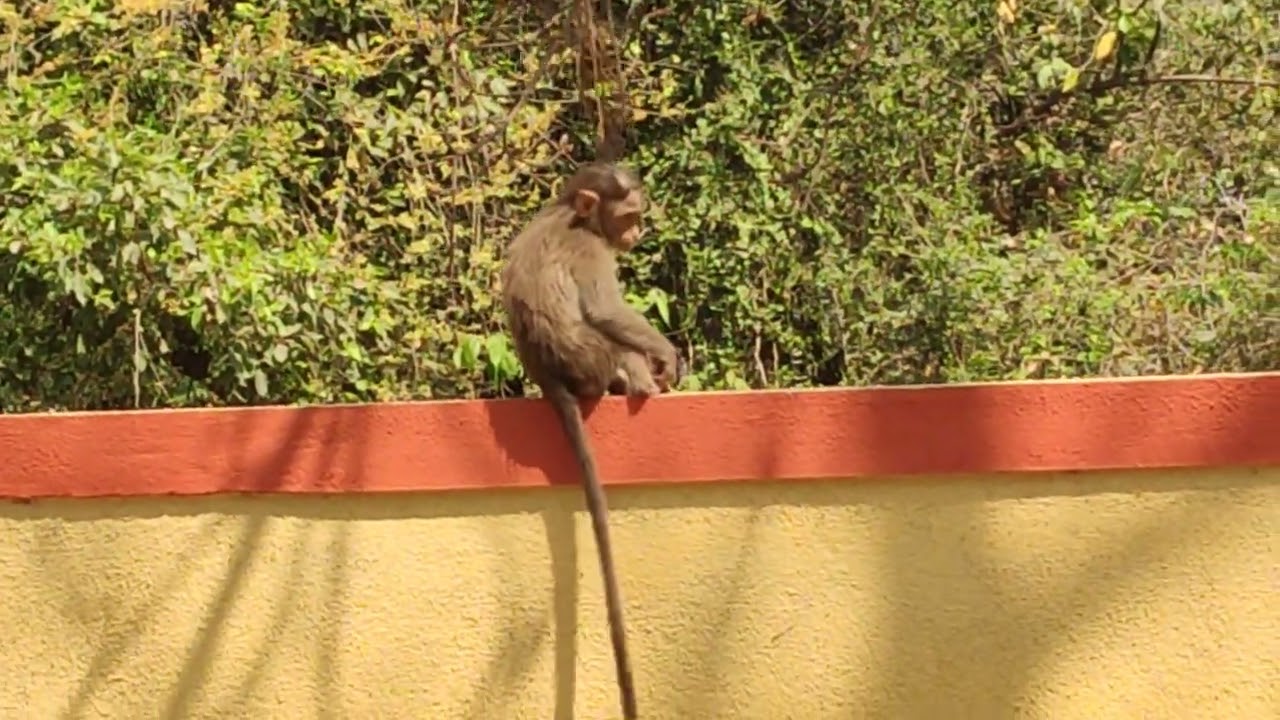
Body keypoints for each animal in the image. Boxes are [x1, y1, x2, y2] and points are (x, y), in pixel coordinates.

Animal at [500, 161, 680, 720]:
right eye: (626, 215)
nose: (636, 233)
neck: (571, 214)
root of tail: (548, 376)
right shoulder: (592, 250)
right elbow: (605, 311)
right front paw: (668, 357)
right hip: (592, 362)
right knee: (615, 341)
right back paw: (642, 383)